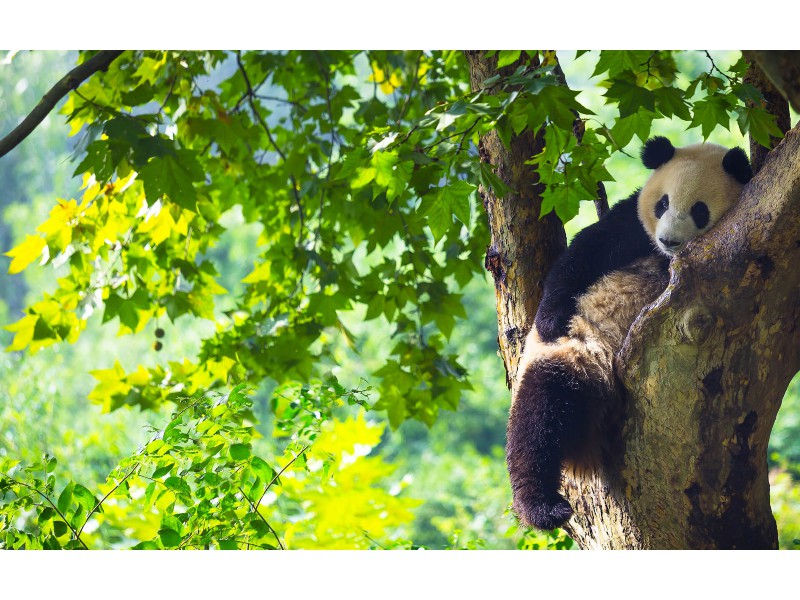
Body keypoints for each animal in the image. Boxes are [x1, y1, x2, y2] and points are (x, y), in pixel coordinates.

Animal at [510, 136, 752, 528]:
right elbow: (586, 252)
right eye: (663, 203)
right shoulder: (632, 227)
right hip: (575, 354)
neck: (664, 257)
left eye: (699, 211)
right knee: (538, 416)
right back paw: (543, 506)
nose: (669, 240)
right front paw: (548, 320)